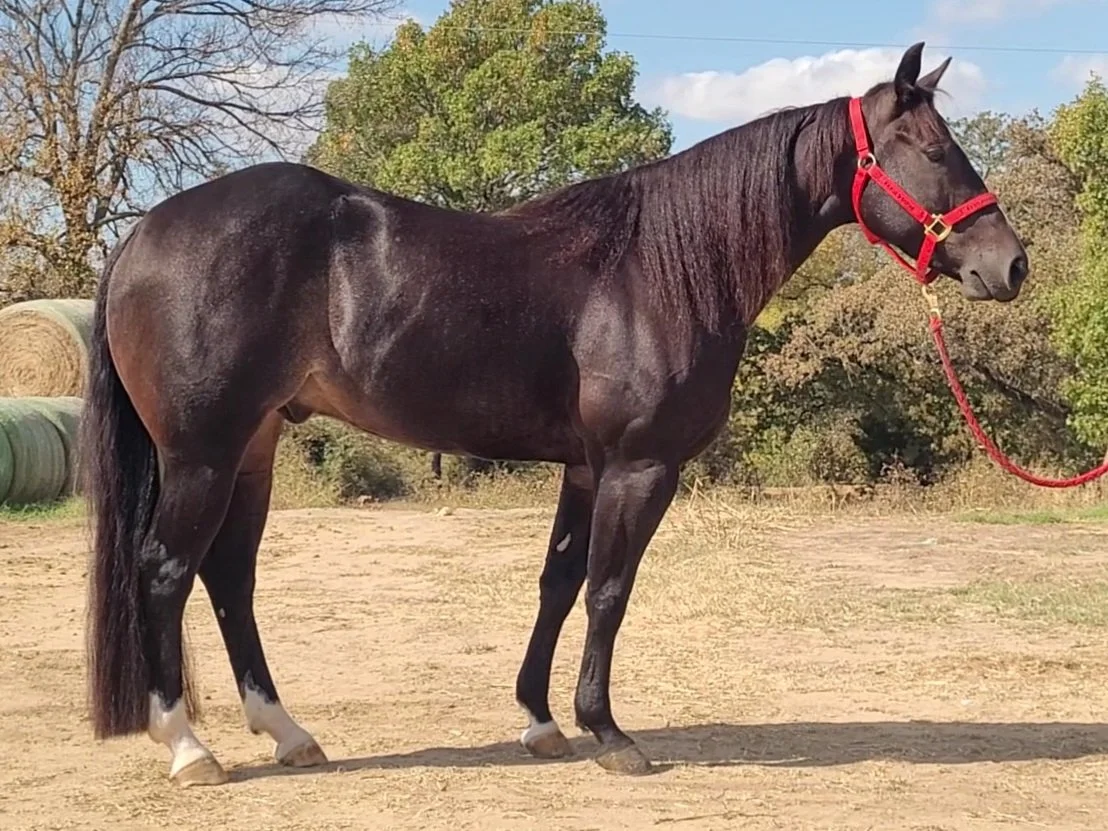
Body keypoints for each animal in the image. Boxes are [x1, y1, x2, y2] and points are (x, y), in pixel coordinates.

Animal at [82, 42, 1029, 787]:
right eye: (933, 149)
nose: (1010, 265)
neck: (657, 268)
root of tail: (142, 233)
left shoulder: (585, 467)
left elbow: (559, 583)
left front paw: (541, 722)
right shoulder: (641, 467)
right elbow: (610, 589)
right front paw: (608, 731)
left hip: (254, 447)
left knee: (229, 578)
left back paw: (288, 732)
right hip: (202, 453)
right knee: (166, 570)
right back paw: (189, 747)